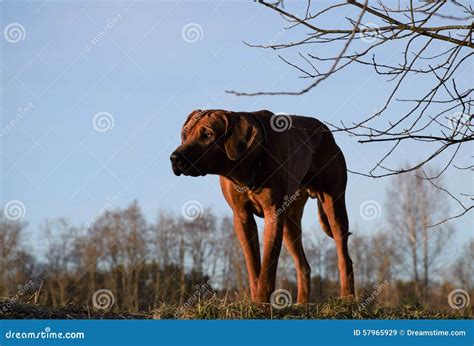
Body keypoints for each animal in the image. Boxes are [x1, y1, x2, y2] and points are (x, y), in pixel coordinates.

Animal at [169, 109, 352, 302]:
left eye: (207, 134)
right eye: (185, 134)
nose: (174, 158)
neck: (246, 170)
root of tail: (326, 131)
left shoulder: (273, 213)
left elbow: (268, 266)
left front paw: (262, 301)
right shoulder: (242, 217)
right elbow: (253, 265)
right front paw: (255, 299)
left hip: (334, 205)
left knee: (344, 255)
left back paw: (348, 297)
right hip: (289, 222)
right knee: (303, 266)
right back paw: (301, 304)